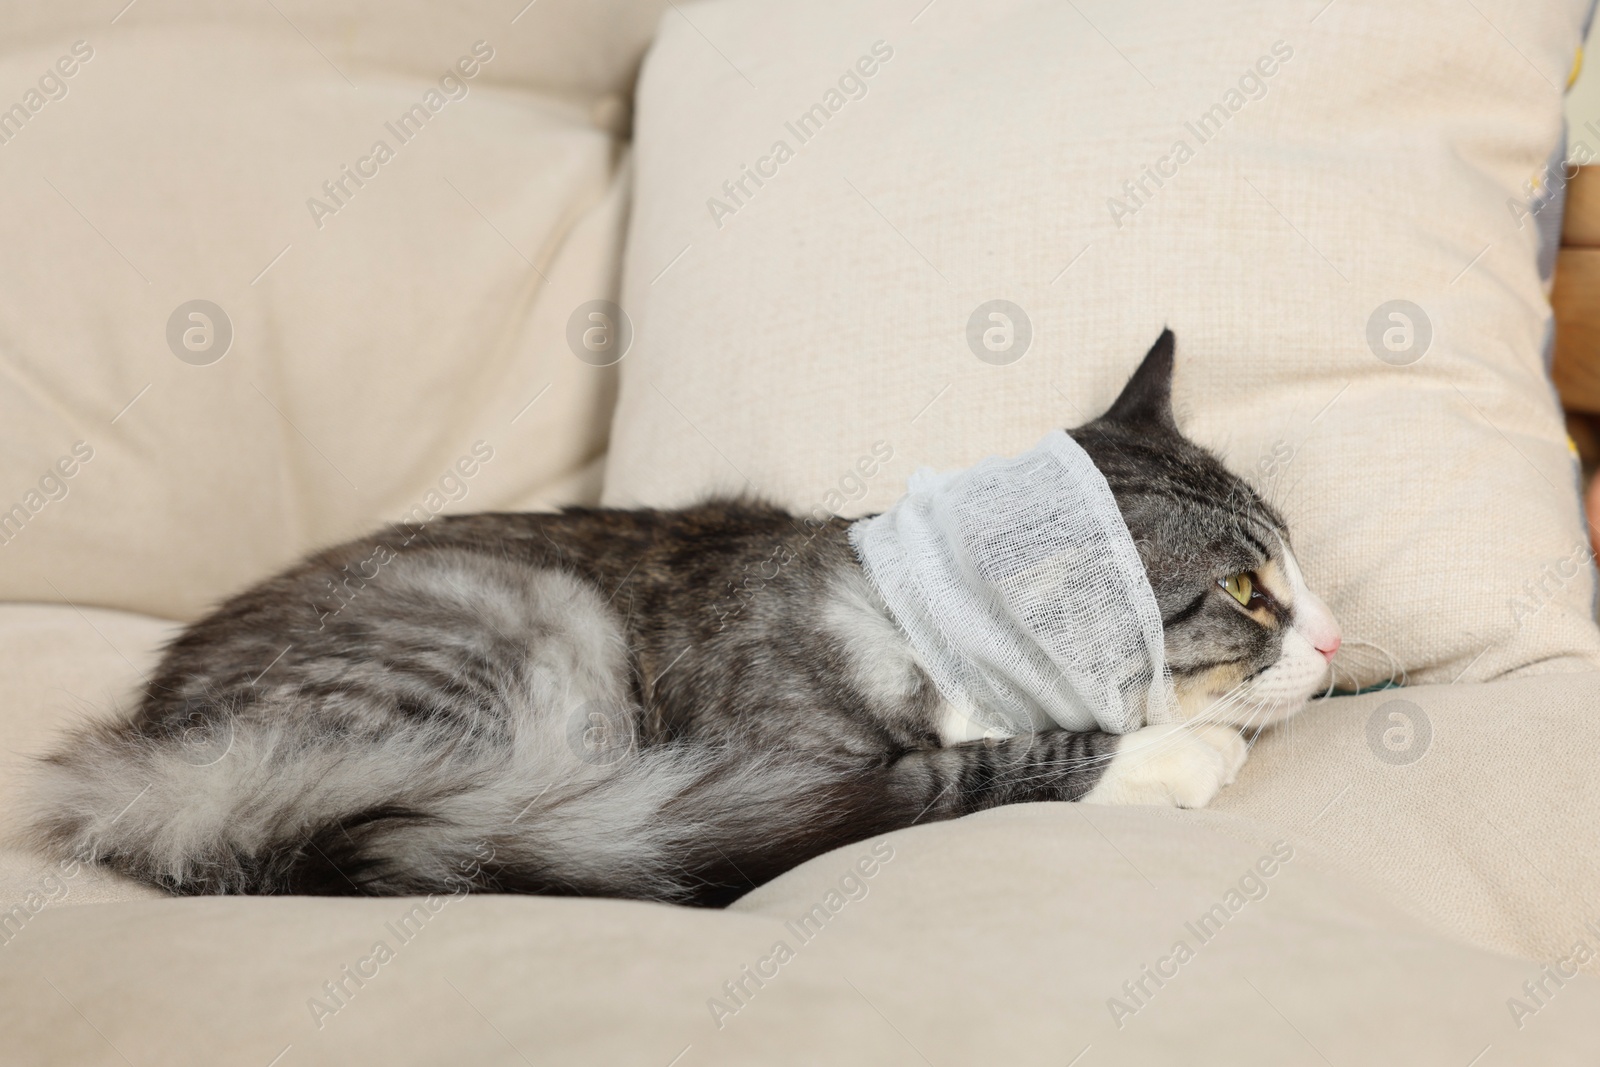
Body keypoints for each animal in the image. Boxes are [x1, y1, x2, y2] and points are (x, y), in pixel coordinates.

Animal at [21, 329, 1337, 908]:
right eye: (1245, 592)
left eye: (1297, 566)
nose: (1332, 638)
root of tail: (161, 763)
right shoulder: (788, 762)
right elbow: (988, 763)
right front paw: (1178, 754)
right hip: (530, 642)